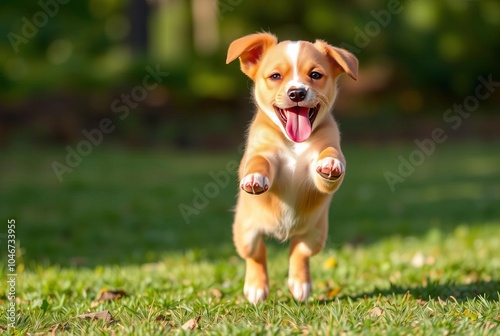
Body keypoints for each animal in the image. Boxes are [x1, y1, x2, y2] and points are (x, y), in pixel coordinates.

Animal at [227, 32, 360, 304]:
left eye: (315, 75)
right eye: (276, 76)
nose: (297, 92)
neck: (294, 143)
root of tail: (284, 232)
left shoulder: (325, 156)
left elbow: (329, 156)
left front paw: (330, 163)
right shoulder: (262, 152)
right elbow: (259, 162)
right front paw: (255, 177)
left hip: (315, 235)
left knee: (299, 250)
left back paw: (300, 284)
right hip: (245, 234)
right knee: (256, 254)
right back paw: (256, 288)